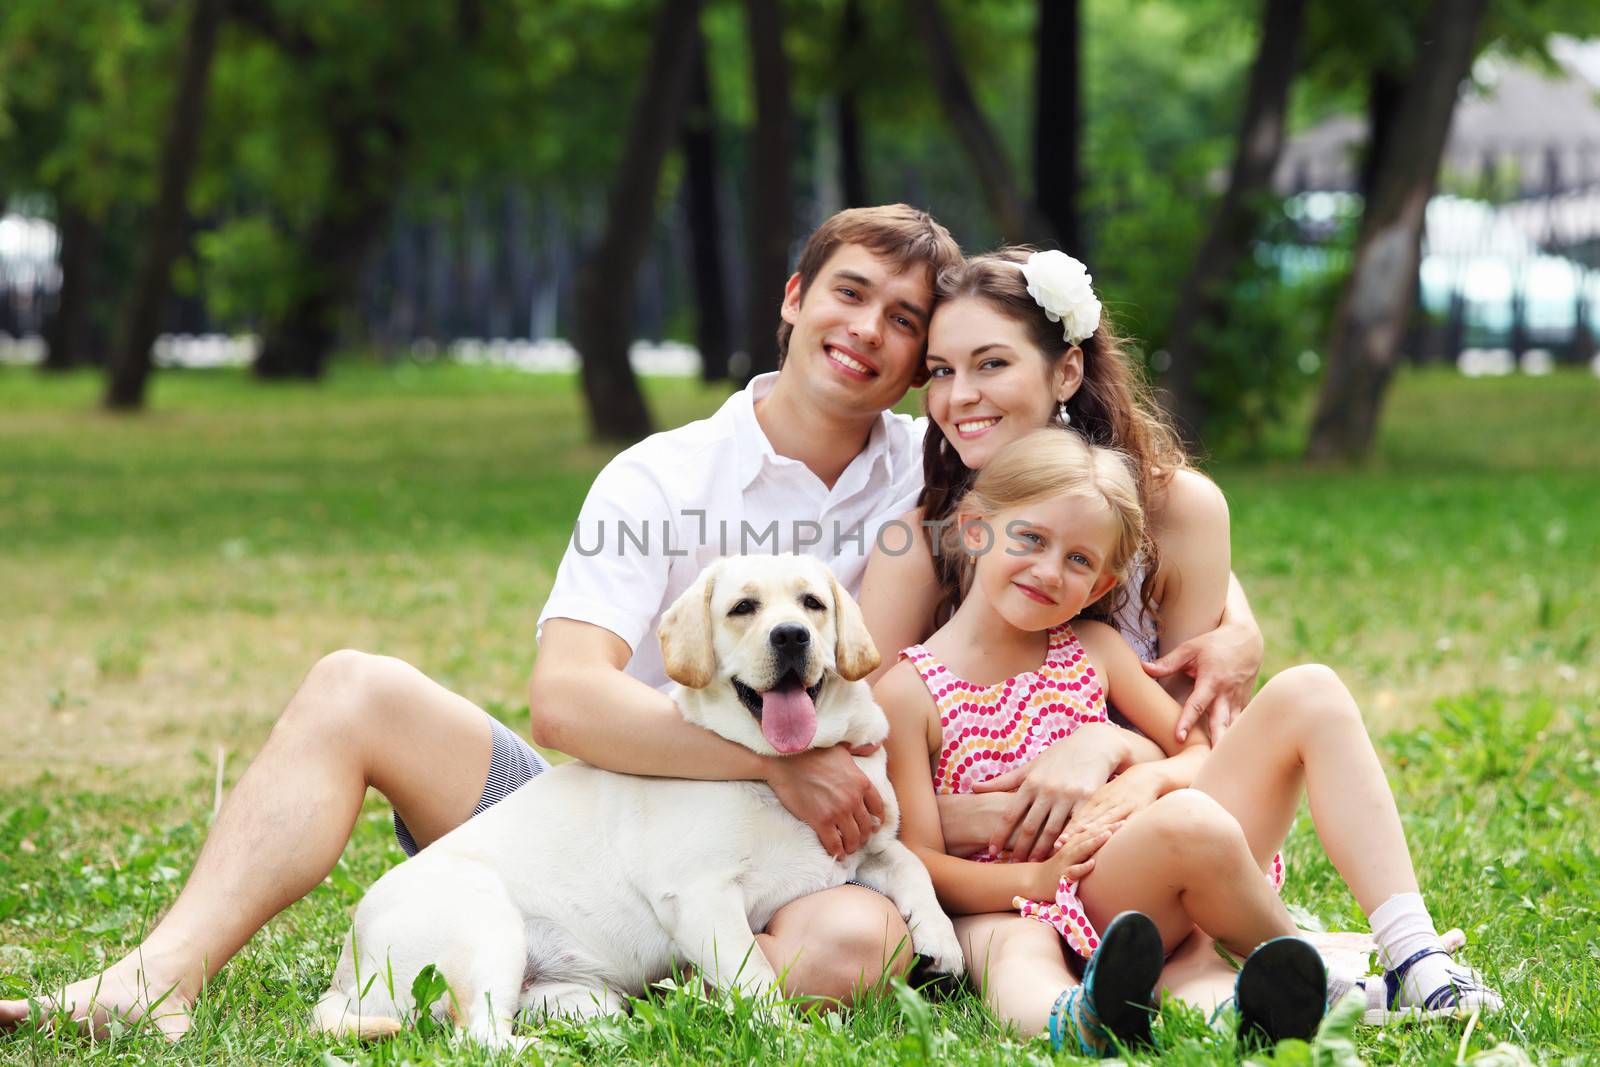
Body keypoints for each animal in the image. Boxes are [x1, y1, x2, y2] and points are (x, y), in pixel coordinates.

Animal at [313, 556, 960, 1049]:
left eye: (812, 604)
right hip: (486, 927)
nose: (791, 635)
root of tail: (346, 972)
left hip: (582, 997)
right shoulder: (701, 898)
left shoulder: (870, 846)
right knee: (478, 1039)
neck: (780, 772)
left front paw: (941, 941)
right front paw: (786, 1035)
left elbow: (914, 867)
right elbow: (755, 976)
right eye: (743, 609)